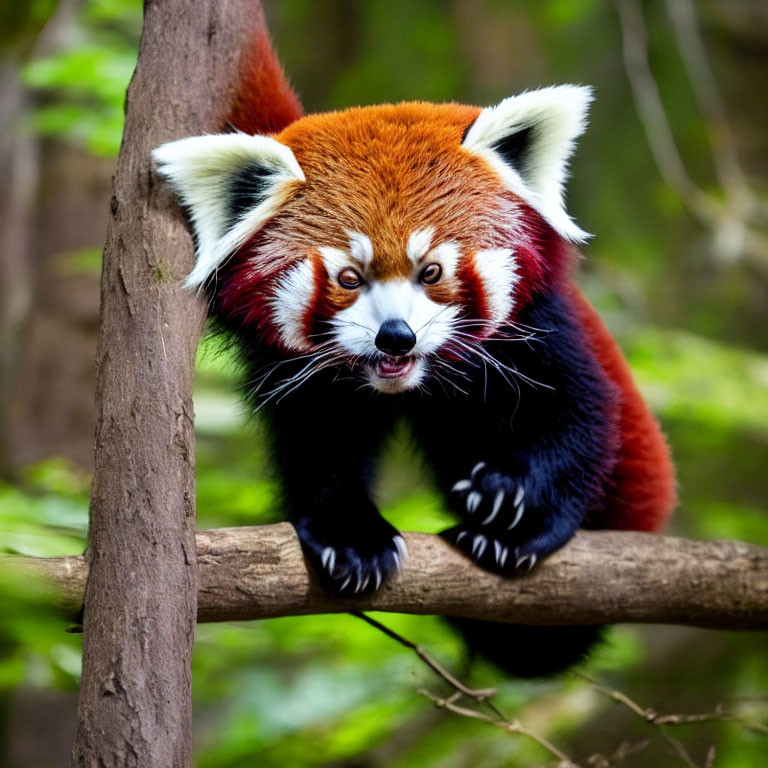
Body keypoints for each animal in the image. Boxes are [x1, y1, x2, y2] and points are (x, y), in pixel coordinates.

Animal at [153, 21, 676, 676]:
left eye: (431, 271)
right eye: (349, 277)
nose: (396, 335)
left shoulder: (538, 323)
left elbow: (577, 413)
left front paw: (513, 506)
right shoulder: (294, 370)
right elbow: (321, 441)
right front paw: (350, 535)